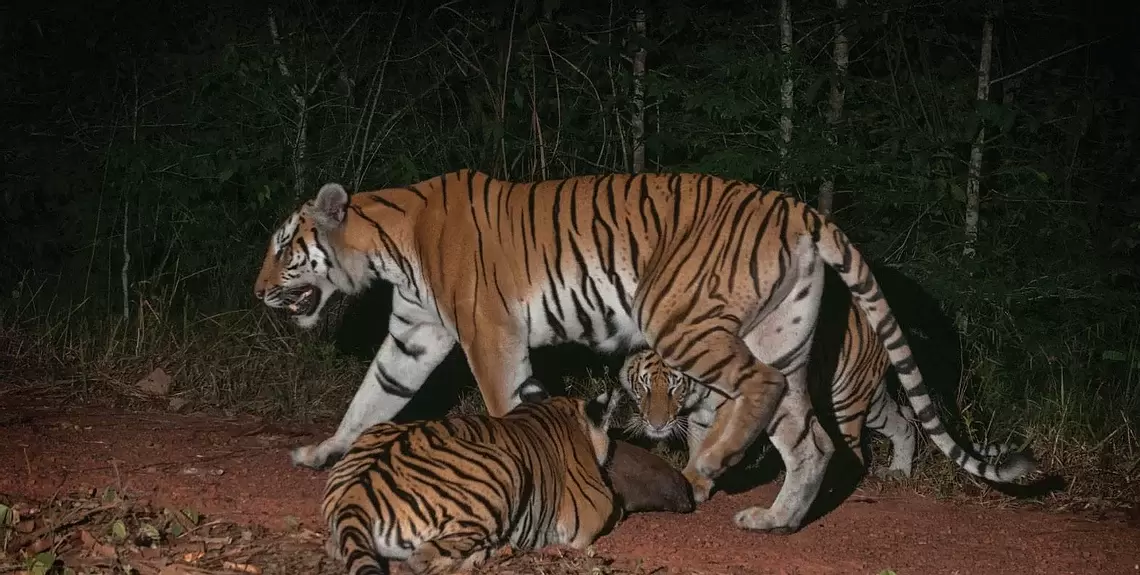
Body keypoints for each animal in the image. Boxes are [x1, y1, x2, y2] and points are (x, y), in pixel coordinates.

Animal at [255, 170, 1036, 534]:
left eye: (285, 249)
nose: (258, 291)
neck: (386, 246)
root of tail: (799, 206)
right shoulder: (416, 334)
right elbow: (370, 397)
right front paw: (321, 452)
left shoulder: (487, 333)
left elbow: (506, 405)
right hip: (782, 335)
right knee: (809, 436)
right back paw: (774, 518)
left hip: (684, 315)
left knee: (758, 391)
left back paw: (708, 464)